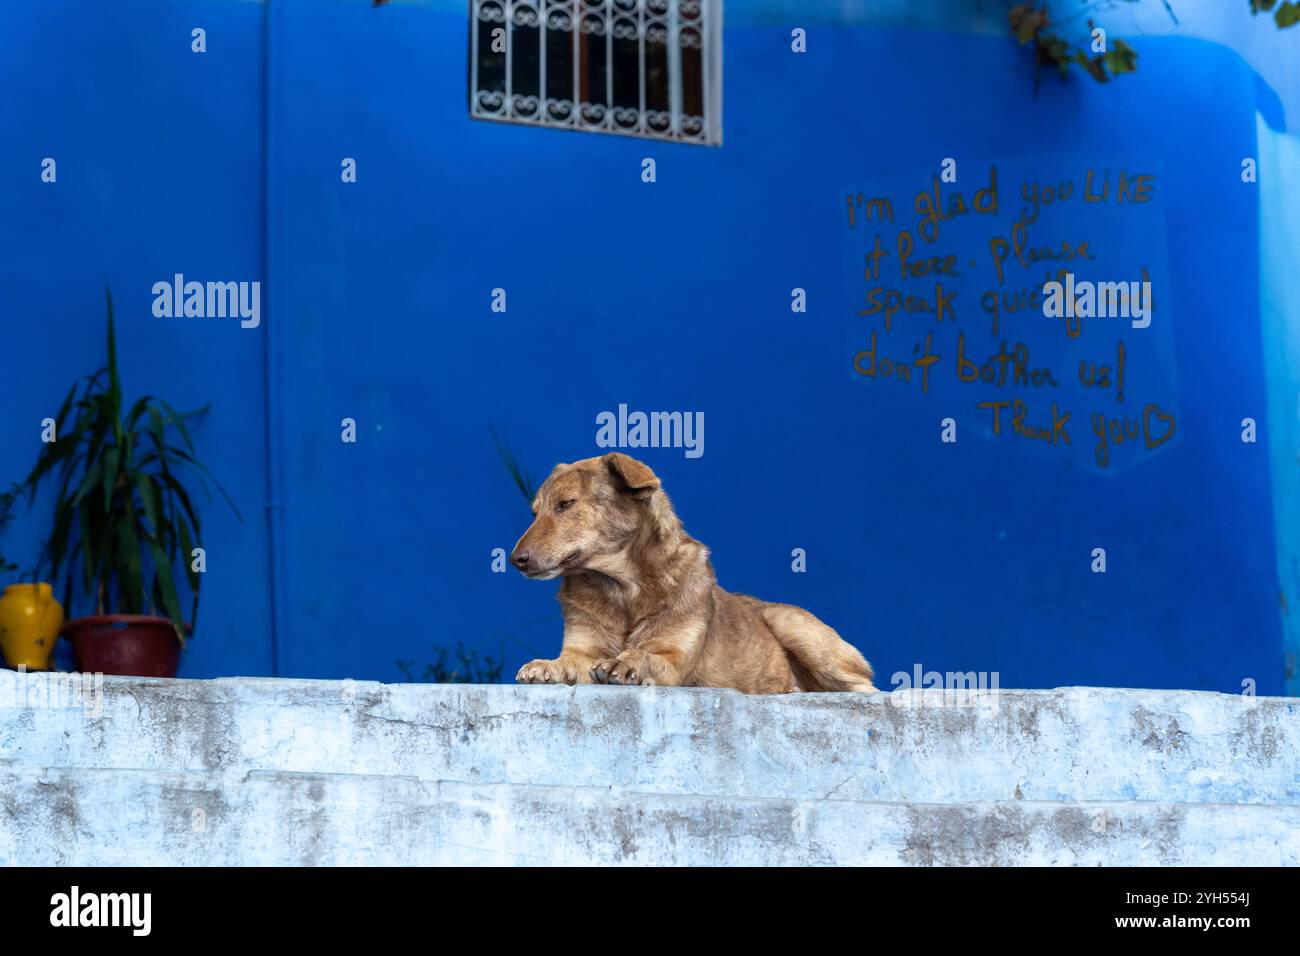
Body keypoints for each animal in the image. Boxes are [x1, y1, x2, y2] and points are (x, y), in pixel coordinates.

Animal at [506, 452, 873, 691]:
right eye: (535, 513)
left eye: (565, 505)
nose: (514, 560)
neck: (624, 589)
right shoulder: (582, 651)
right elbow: (568, 661)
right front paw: (546, 666)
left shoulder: (674, 660)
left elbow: (645, 655)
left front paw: (627, 662)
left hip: (792, 625)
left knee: (864, 688)